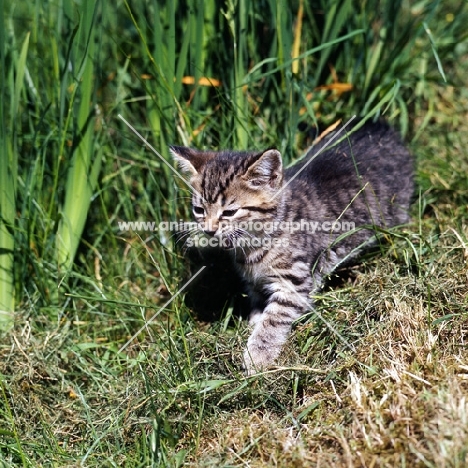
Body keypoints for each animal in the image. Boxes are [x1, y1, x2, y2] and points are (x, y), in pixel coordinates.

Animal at [172, 121, 414, 372]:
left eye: (229, 212)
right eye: (199, 210)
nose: (209, 230)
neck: (254, 244)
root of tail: (382, 128)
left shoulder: (294, 281)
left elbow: (275, 318)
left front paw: (258, 354)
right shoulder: (255, 281)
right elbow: (259, 305)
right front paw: (254, 322)